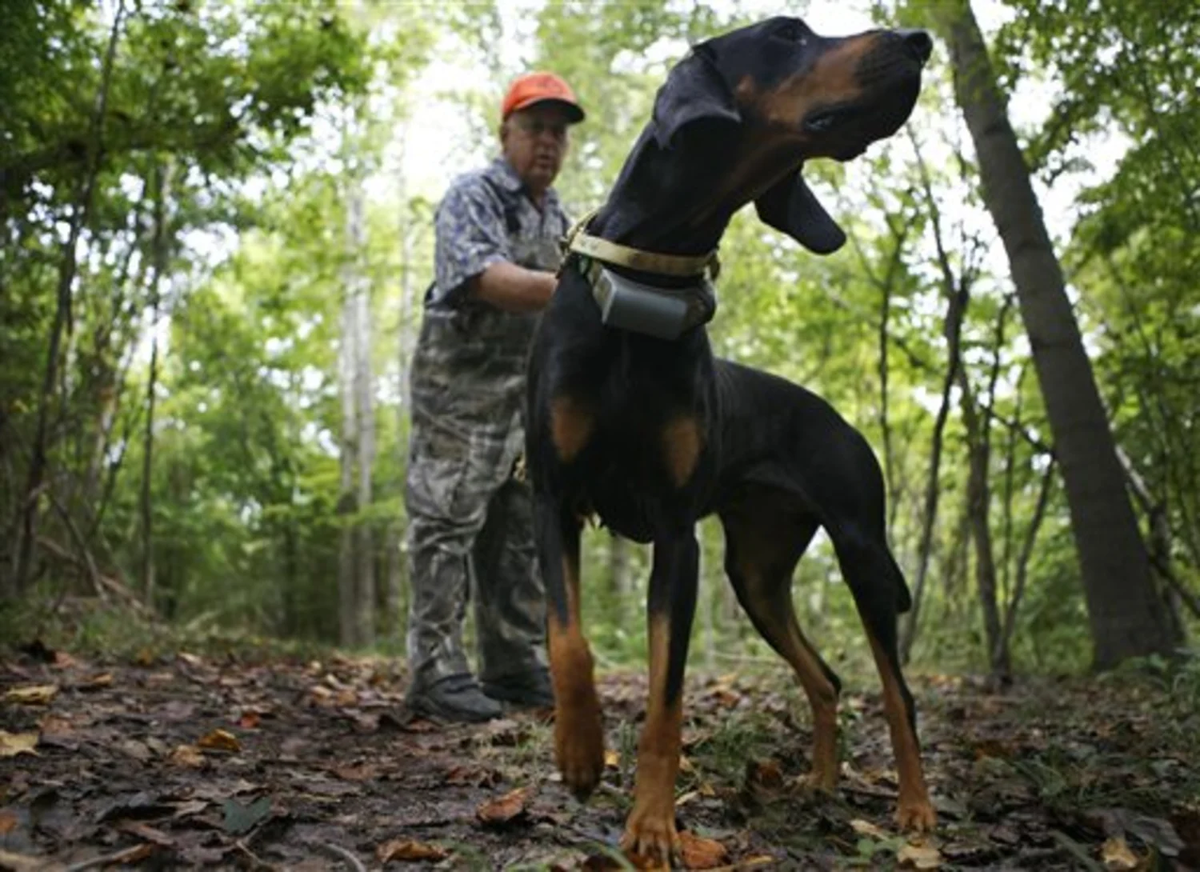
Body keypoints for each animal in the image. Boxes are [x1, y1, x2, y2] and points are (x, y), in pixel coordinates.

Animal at [528, 15, 936, 868]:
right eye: (786, 33)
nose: (918, 38)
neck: (647, 281)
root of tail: (838, 419)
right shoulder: (552, 498)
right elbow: (568, 639)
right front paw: (579, 753)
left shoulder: (676, 535)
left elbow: (667, 698)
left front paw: (653, 827)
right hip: (756, 574)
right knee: (826, 679)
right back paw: (820, 784)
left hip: (861, 550)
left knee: (897, 691)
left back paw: (915, 810)